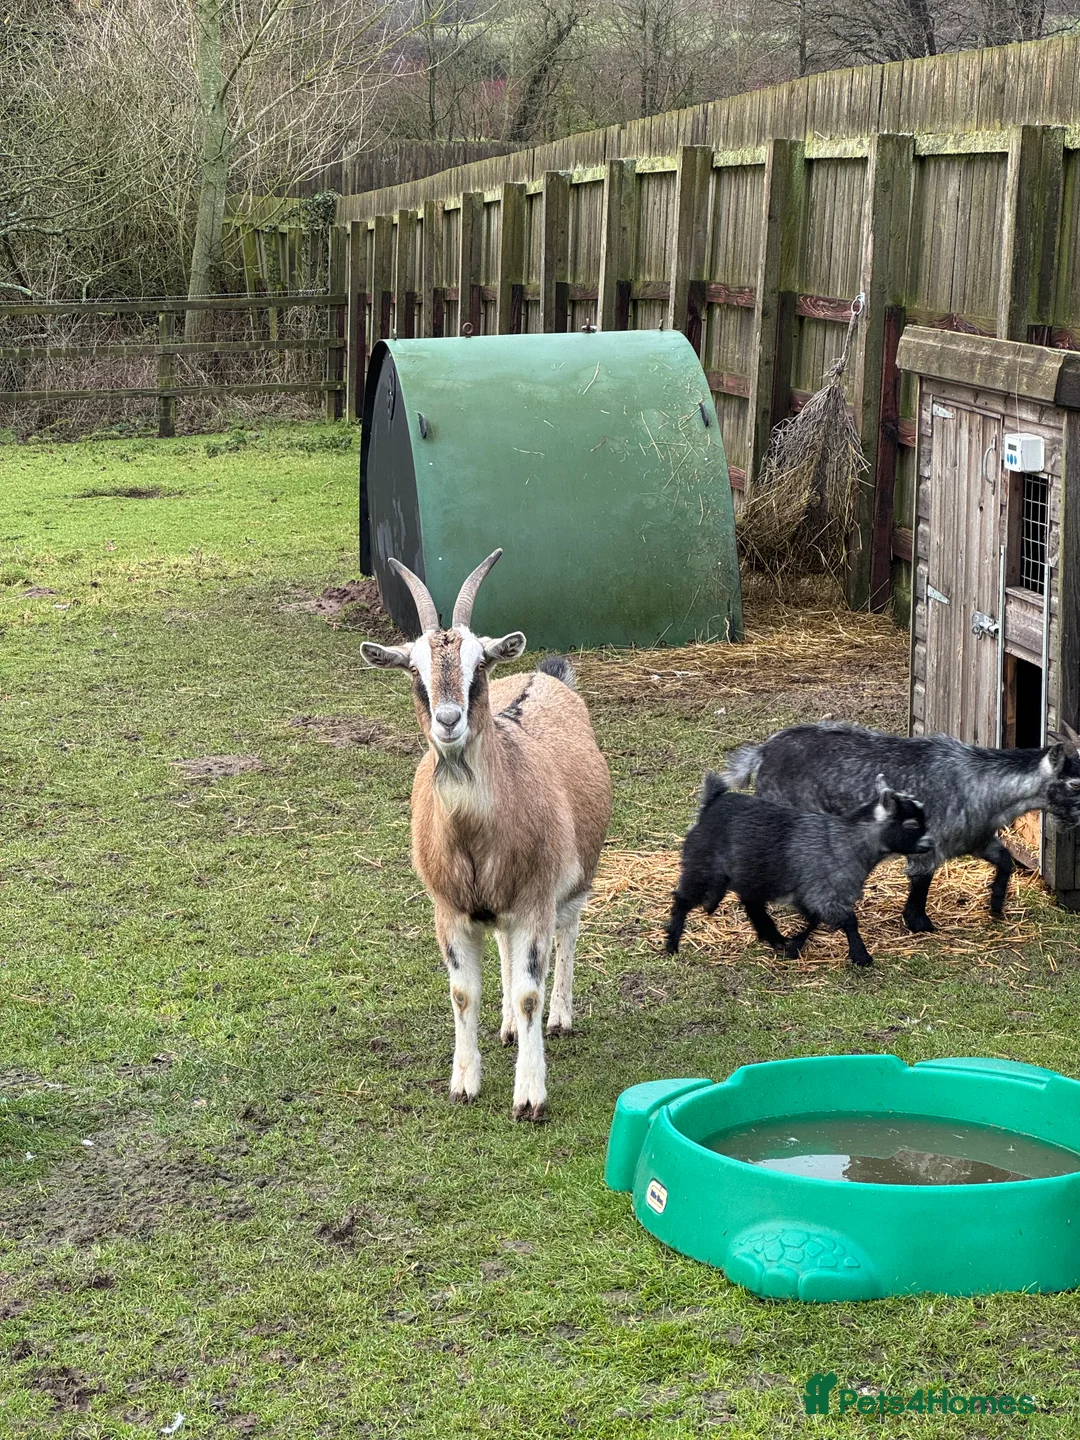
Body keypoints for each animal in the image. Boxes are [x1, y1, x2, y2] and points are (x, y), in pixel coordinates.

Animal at [361, 550, 611, 1121]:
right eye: (415, 669)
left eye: (480, 665)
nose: (448, 720)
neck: (474, 835)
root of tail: (545, 676)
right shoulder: (450, 910)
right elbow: (461, 994)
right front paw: (464, 1083)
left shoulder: (536, 899)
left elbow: (529, 992)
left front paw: (530, 1096)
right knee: (502, 945)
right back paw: (508, 1029)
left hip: (574, 878)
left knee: (568, 932)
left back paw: (559, 1018)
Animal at [665, 773, 931, 966]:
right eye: (911, 824)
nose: (929, 844)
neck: (846, 841)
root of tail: (711, 805)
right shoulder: (825, 893)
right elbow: (848, 920)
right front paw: (861, 956)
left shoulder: (811, 894)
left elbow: (814, 920)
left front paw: (794, 946)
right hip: (703, 868)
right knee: (682, 899)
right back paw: (671, 945)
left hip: (751, 875)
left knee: (752, 905)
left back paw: (773, 938)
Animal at [725, 722, 1080, 932]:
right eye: (1074, 783)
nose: (1078, 819)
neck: (979, 783)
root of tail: (763, 752)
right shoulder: (929, 844)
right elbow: (921, 881)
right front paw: (920, 923)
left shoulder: (976, 838)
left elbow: (1005, 861)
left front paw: (995, 906)